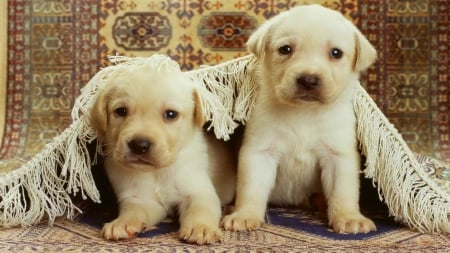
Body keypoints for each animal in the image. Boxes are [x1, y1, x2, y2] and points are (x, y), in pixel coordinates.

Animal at [91, 62, 237, 244]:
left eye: (170, 114)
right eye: (121, 111)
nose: (139, 145)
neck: (158, 171)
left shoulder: (199, 192)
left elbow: (199, 209)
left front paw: (200, 227)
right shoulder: (141, 199)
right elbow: (133, 211)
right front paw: (122, 223)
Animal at [223, 4, 378, 233]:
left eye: (336, 53)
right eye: (285, 49)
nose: (309, 80)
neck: (304, 112)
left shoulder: (339, 156)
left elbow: (343, 192)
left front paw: (349, 217)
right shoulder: (260, 151)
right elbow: (251, 188)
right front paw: (244, 215)